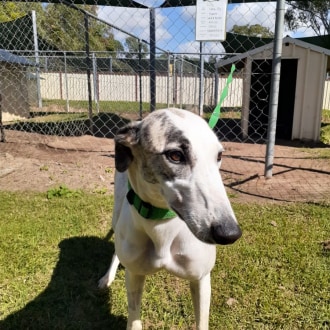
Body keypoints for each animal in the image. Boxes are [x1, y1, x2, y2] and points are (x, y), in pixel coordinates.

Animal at [98, 109, 242, 330]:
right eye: (175, 155)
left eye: (219, 155)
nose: (230, 233)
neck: (162, 226)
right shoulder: (135, 275)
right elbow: (134, 319)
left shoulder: (201, 278)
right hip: (117, 213)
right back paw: (107, 277)